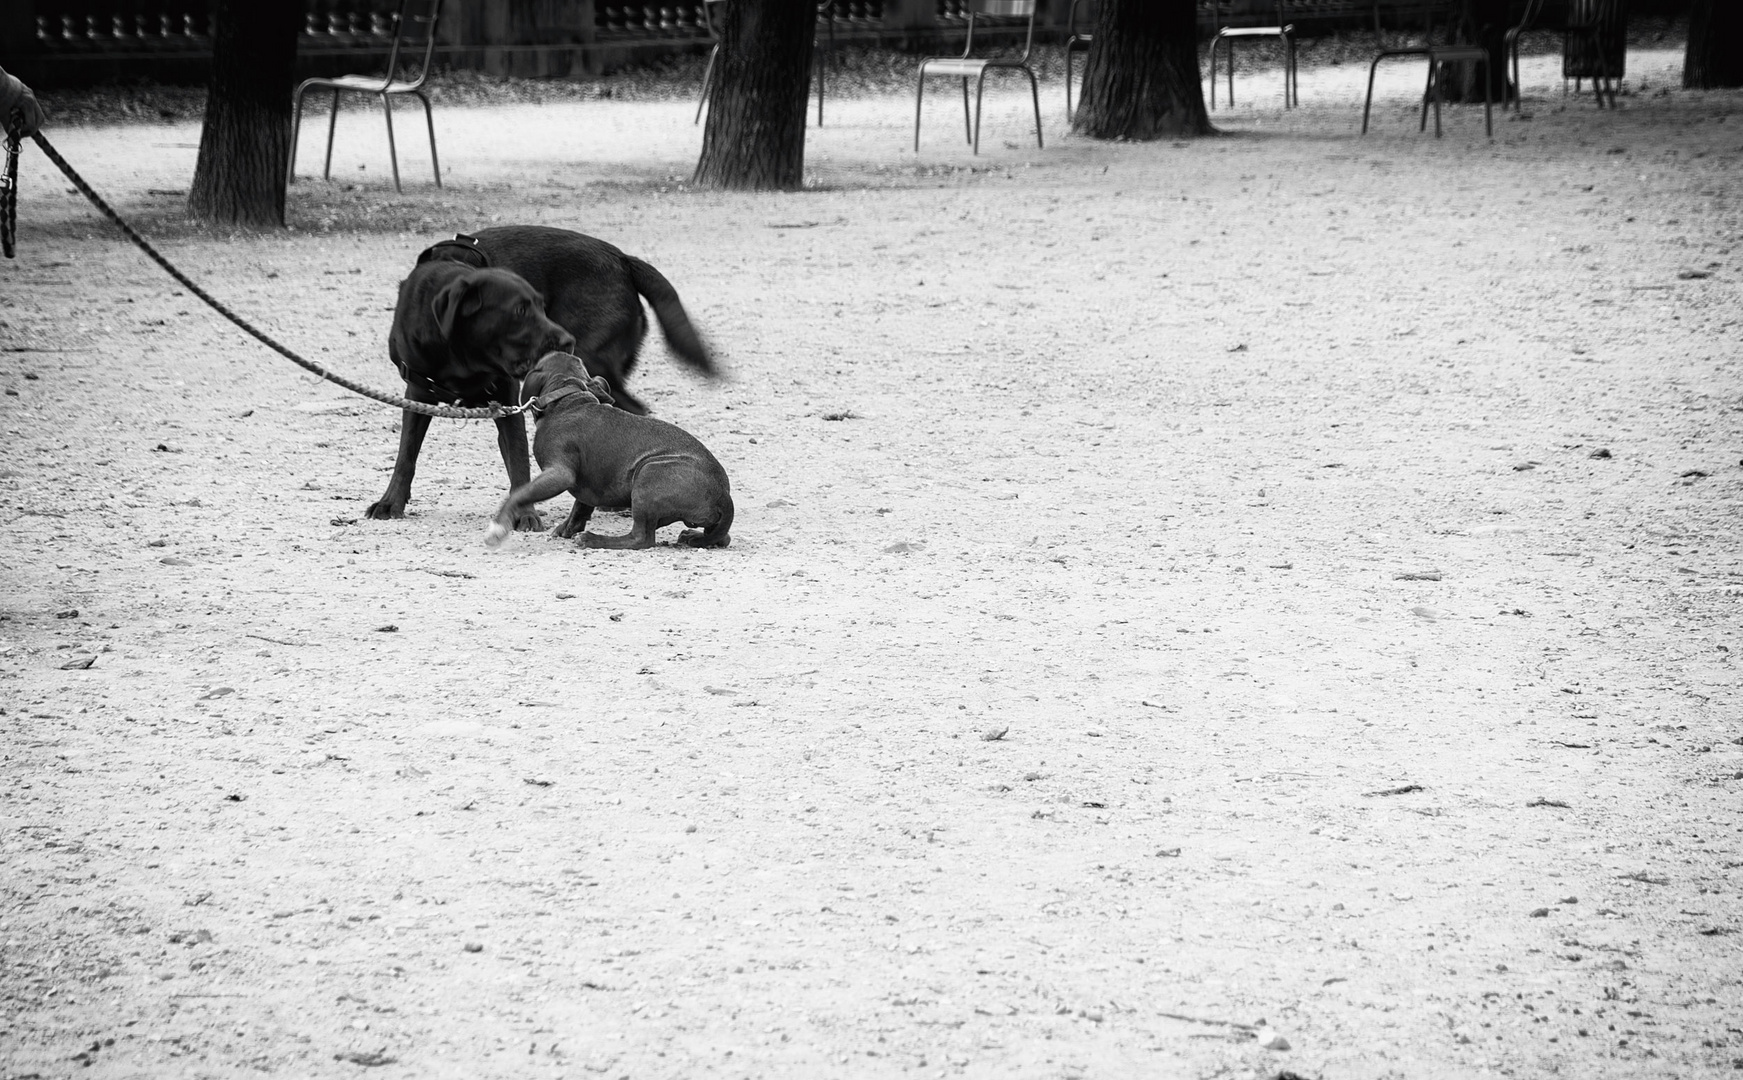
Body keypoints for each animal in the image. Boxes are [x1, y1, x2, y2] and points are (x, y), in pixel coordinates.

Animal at [488, 351, 732, 553]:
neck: (568, 397)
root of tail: (723, 495)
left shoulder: (559, 474)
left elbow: (519, 495)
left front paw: (499, 527)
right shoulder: (587, 484)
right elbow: (580, 508)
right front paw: (567, 529)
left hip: (648, 475)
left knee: (641, 538)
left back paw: (594, 540)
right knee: (722, 538)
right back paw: (692, 536)